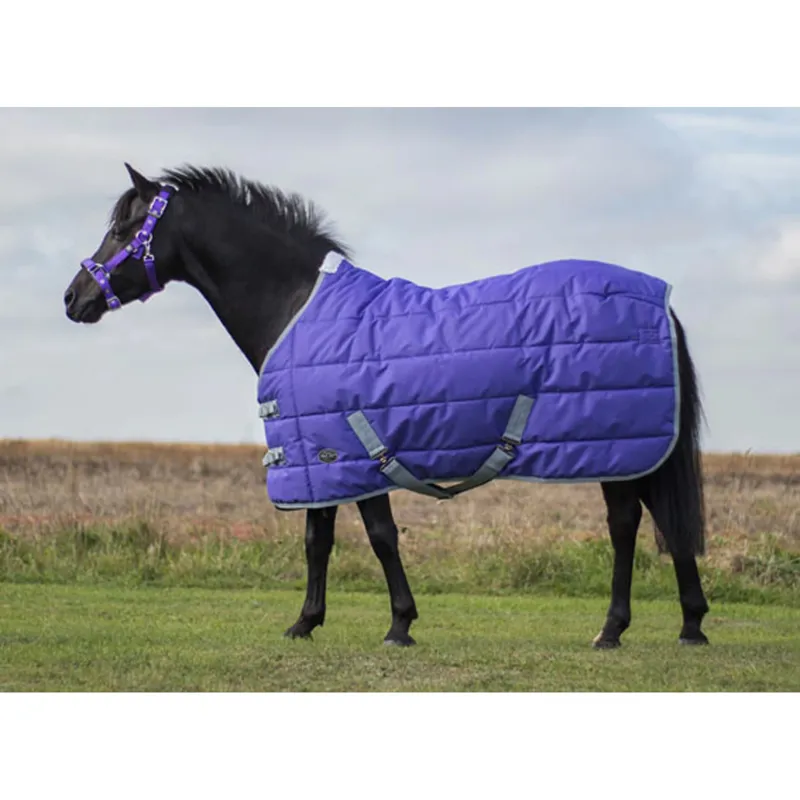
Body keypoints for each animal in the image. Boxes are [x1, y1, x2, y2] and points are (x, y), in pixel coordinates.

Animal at [63, 163, 710, 648]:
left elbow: (378, 535)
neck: (296, 307)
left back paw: (621, 629)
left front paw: (399, 624)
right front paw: (306, 622)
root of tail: (658, 298)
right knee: (661, 521)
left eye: (123, 227)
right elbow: (318, 539)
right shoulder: (319, 456)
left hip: (618, 449)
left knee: (628, 525)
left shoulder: (351, 452)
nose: (74, 298)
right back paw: (688, 623)